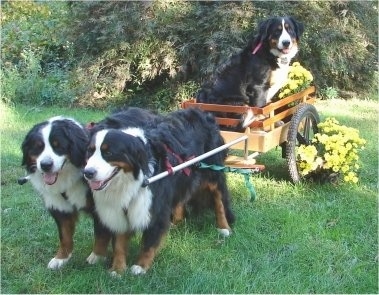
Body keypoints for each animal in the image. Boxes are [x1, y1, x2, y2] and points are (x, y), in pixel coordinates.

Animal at [20, 117, 112, 270]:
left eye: (58, 146)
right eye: (38, 147)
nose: (45, 165)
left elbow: (101, 234)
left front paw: (97, 256)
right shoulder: (59, 206)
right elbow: (64, 235)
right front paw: (61, 258)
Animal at [84, 107, 235, 276]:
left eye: (108, 153)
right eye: (89, 152)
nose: (88, 172)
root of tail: (204, 113)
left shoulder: (155, 204)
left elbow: (150, 240)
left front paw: (140, 267)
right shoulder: (122, 205)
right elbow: (119, 241)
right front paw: (117, 269)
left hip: (213, 173)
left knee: (219, 200)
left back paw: (224, 228)